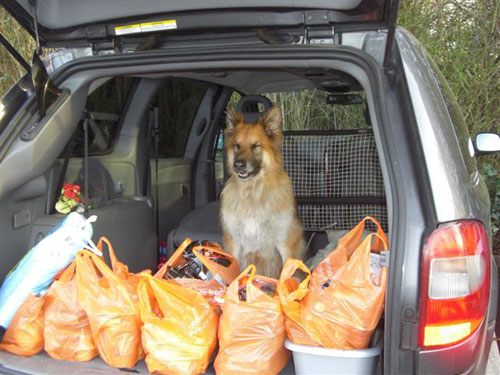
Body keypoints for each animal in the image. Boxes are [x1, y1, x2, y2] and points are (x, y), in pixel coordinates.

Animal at [222, 106, 304, 280]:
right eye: (237, 145)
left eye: (255, 146)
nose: (238, 165)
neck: (253, 191)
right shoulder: (234, 242)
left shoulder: (285, 242)